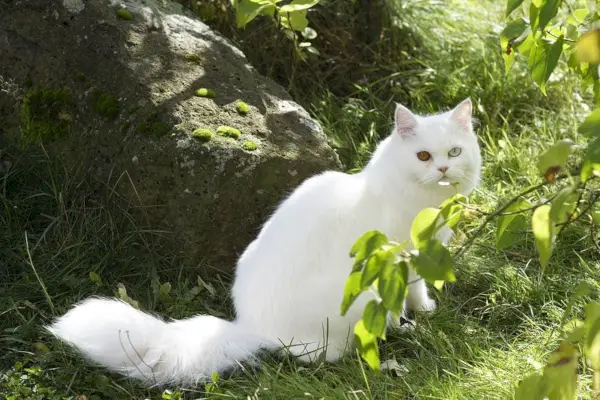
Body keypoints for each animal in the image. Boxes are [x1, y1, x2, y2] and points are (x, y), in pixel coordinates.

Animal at [48, 97, 482, 388]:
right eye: (423, 156)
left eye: (454, 152)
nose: (443, 169)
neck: (424, 204)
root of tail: (249, 327)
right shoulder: (402, 259)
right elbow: (409, 294)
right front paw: (416, 318)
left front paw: (421, 314)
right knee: (316, 355)